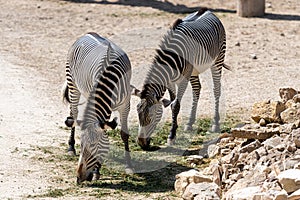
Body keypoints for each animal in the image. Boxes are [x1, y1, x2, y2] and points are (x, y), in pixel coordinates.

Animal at [61, 32, 133, 183]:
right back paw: (70, 147)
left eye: (94, 146)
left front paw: (129, 166)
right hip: (73, 84)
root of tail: (88, 33)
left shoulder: (125, 104)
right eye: (81, 145)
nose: (78, 178)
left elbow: (124, 134)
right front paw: (96, 171)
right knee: (73, 113)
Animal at [131, 8, 230, 150]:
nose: (141, 144)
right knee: (197, 89)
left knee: (216, 89)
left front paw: (171, 136)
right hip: (193, 70)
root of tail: (208, 10)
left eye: (152, 116)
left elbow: (175, 105)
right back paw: (190, 122)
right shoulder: (170, 83)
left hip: (218, 59)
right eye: (138, 115)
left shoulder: (183, 80)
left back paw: (215, 123)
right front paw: (175, 130)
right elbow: (172, 102)